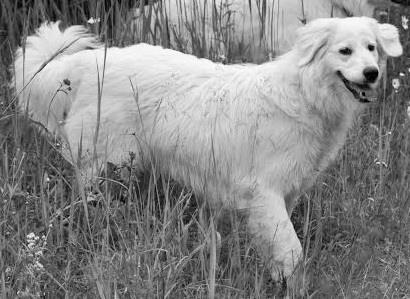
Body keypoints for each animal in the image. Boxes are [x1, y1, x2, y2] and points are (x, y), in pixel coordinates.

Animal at [14, 16, 402, 278]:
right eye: (345, 51)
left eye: (371, 48)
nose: (371, 73)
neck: (305, 95)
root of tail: (89, 62)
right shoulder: (264, 192)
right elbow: (292, 250)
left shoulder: (285, 194)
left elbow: (279, 246)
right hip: (103, 166)